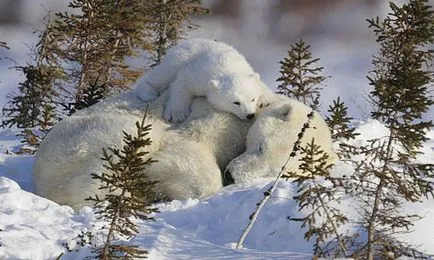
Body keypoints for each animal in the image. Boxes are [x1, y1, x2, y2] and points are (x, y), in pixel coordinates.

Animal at [136, 38, 274, 123]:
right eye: (236, 102)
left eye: (253, 99)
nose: (250, 115)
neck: (228, 66)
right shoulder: (199, 73)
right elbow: (182, 83)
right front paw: (177, 114)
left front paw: (266, 99)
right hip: (179, 57)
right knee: (163, 74)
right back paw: (147, 93)